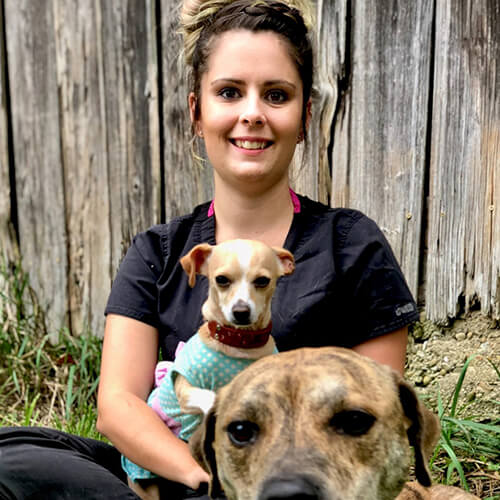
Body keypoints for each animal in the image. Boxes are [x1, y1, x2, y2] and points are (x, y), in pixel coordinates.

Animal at [125, 238, 294, 500]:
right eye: (221, 279)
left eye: (262, 281)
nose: (241, 312)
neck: (239, 346)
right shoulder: (185, 389)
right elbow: (210, 396)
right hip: (145, 483)